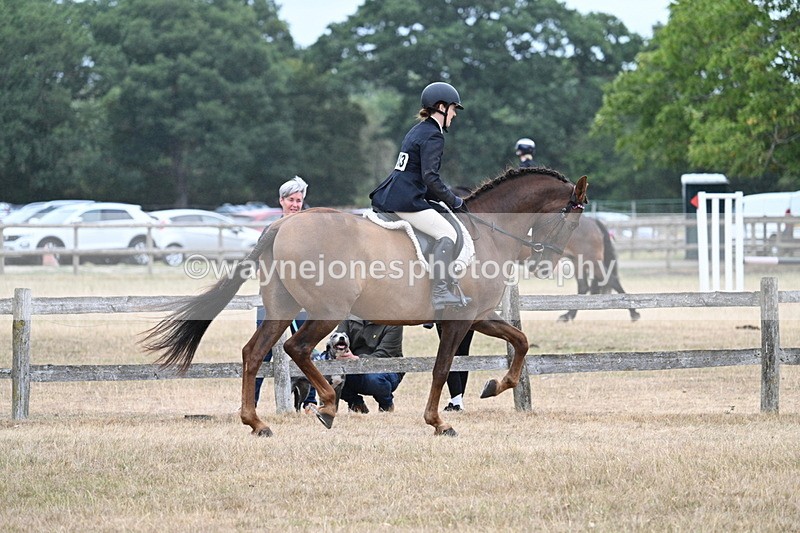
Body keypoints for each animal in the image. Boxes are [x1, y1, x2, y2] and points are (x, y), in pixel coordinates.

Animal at [141, 168, 588, 437]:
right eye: (571, 218)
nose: (546, 261)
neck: (490, 232)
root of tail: (282, 224)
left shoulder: (477, 317)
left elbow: (521, 341)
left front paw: (495, 386)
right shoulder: (459, 320)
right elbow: (442, 368)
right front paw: (437, 423)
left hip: (282, 308)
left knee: (255, 352)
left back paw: (257, 423)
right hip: (326, 312)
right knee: (296, 348)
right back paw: (326, 406)